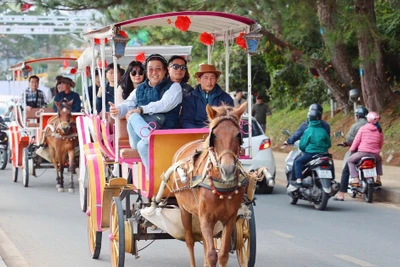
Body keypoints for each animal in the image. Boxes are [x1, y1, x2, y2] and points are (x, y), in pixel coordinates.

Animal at [173, 101, 248, 266]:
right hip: (184, 209)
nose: (228, 169)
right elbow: (212, 255)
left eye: (238, 135)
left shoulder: (230, 218)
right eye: (214, 135)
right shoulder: (206, 217)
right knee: (190, 241)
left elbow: (222, 254)